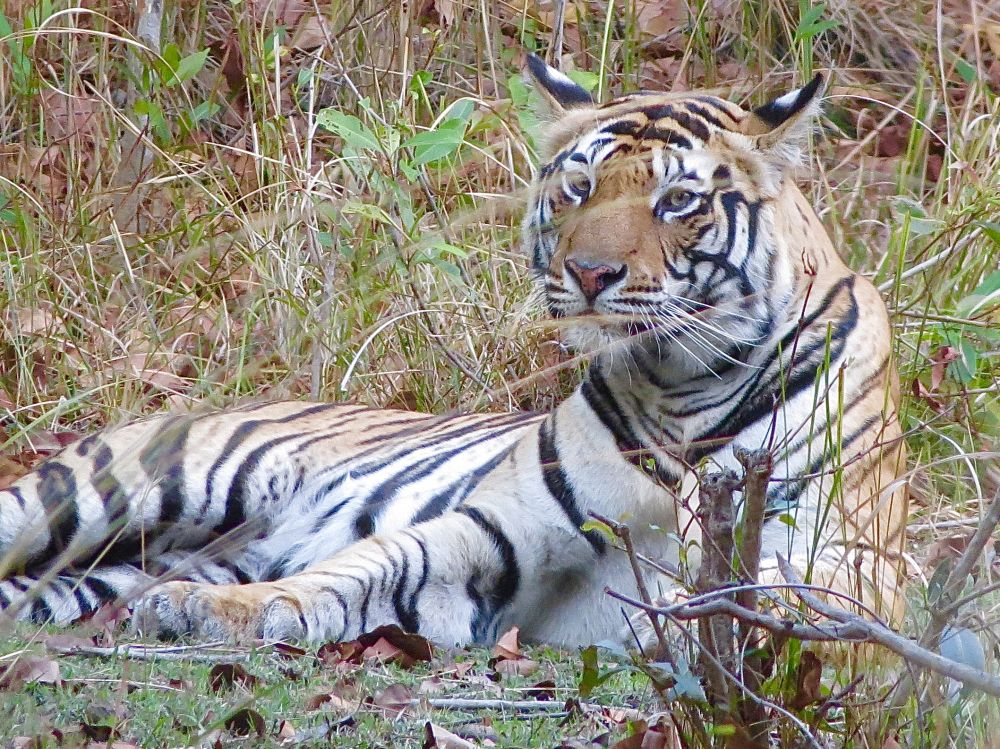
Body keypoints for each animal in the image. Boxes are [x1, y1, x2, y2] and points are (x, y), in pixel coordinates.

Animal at [0, 57, 908, 649]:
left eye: (677, 200)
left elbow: (792, 604)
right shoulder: (496, 529)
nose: (590, 272)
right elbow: (364, 566)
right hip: (110, 488)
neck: (681, 378)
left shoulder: (855, 560)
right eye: (579, 187)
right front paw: (222, 609)